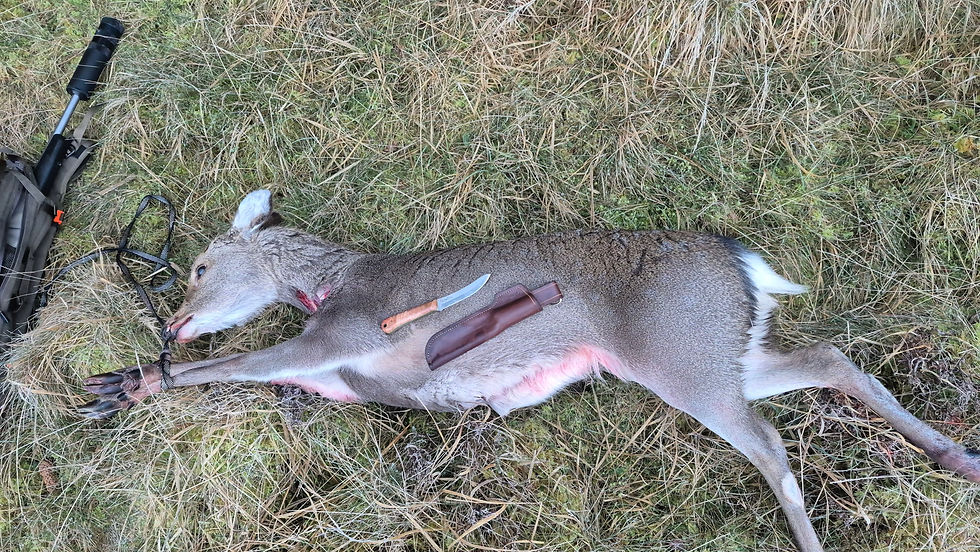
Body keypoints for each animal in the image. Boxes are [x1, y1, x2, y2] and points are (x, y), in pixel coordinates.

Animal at [79, 189, 979, 552]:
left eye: (200, 266)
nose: (172, 322)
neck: (329, 285)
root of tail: (740, 261)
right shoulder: (332, 374)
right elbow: (260, 375)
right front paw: (131, 380)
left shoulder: (335, 338)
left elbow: (240, 362)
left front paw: (128, 383)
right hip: (719, 352)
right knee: (828, 357)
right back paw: (955, 456)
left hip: (682, 361)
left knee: (770, 446)